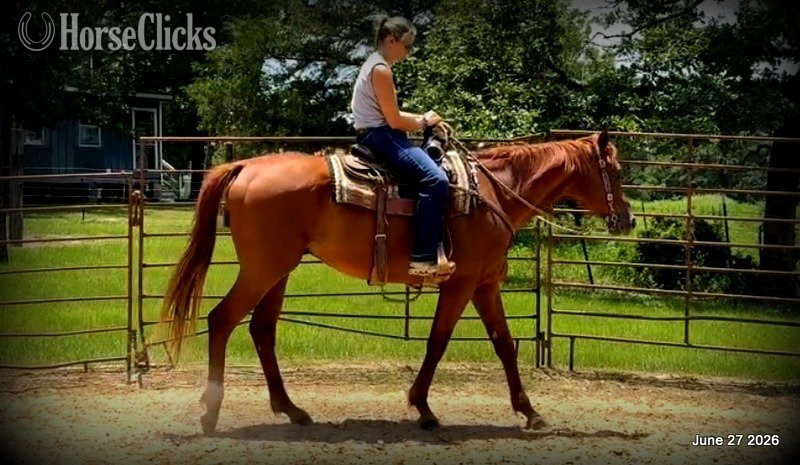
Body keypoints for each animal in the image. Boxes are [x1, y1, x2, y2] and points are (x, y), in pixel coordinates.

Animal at [160, 130, 635, 434]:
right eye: (614, 169)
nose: (628, 219)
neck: (494, 192)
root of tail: (244, 165)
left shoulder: (484, 285)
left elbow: (504, 345)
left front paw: (530, 412)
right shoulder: (461, 284)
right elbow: (438, 342)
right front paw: (423, 408)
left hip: (279, 271)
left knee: (261, 329)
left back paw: (291, 409)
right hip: (263, 269)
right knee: (222, 320)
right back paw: (211, 413)